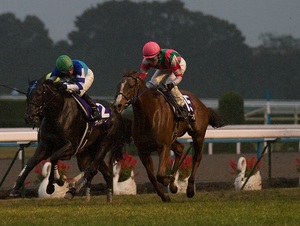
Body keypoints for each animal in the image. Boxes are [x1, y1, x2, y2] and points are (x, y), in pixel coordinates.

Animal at [113, 70, 224, 201]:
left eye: (130, 86)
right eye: (118, 85)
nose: (117, 105)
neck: (149, 115)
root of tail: (203, 105)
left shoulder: (163, 146)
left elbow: (160, 174)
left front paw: (167, 180)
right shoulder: (143, 150)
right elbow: (152, 176)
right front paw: (164, 195)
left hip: (198, 135)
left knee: (197, 157)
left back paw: (190, 189)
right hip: (173, 138)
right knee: (180, 149)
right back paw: (173, 185)